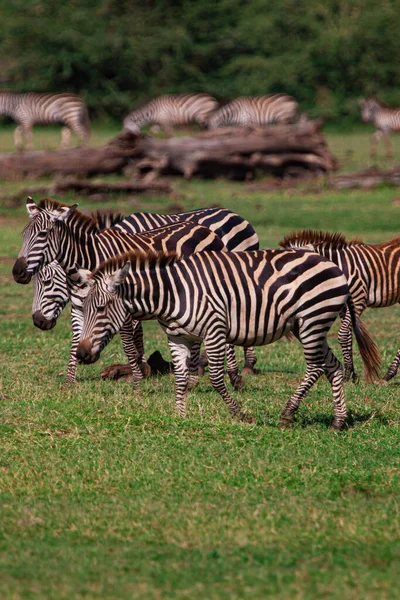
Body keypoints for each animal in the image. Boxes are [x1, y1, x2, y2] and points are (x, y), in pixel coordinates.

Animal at [13, 195, 247, 386]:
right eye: (23, 234)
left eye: (48, 280)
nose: (17, 272)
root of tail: (207, 230)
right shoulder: (80, 308)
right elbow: (75, 342)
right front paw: (70, 382)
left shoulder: (123, 308)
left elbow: (129, 344)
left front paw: (137, 378)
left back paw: (232, 376)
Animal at [76, 250, 382, 432]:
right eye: (83, 308)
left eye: (100, 308)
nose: (81, 355)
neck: (172, 295)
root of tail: (334, 266)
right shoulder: (177, 336)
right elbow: (180, 377)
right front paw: (179, 415)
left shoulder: (215, 330)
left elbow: (215, 378)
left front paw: (239, 414)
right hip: (311, 325)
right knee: (332, 366)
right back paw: (338, 420)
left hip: (311, 321)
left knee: (315, 366)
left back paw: (287, 413)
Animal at [280, 230, 400, 380]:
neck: (341, 267)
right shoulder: (344, 306)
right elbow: (348, 336)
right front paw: (350, 372)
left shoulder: (358, 300)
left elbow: (343, 334)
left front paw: (348, 374)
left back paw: (390, 373)